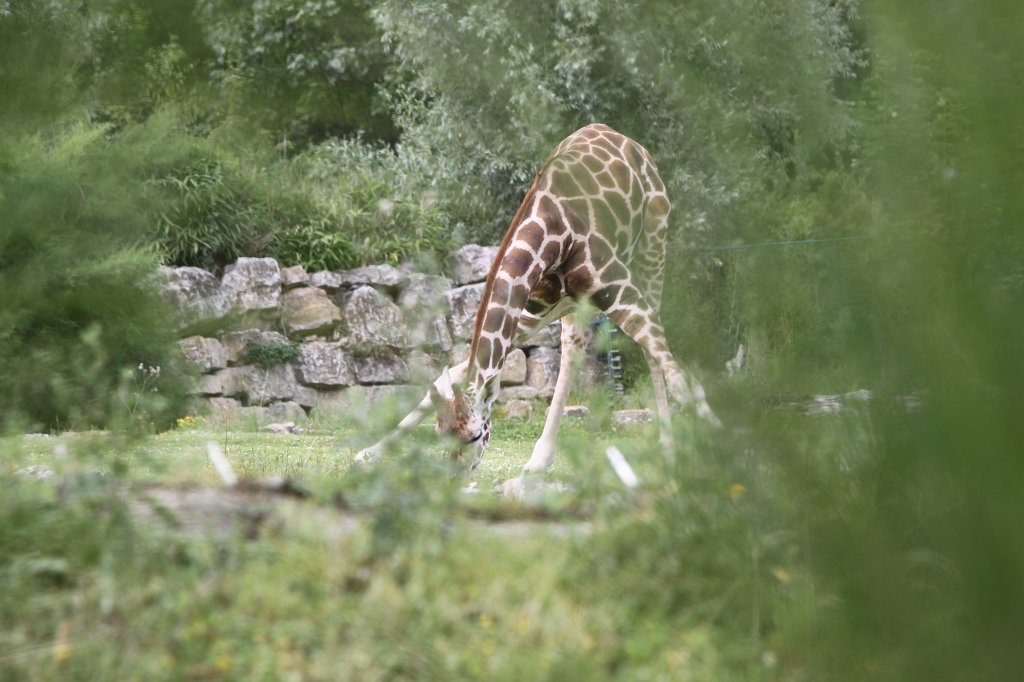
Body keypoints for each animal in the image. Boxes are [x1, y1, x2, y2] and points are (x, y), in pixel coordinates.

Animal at [356, 123, 719, 484]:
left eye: (476, 435)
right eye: (440, 433)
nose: (452, 480)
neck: (551, 231)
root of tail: (630, 142)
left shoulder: (617, 286)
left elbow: (678, 379)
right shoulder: (533, 307)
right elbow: (451, 375)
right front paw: (369, 452)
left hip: (653, 246)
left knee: (649, 352)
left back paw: (668, 447)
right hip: (561, 307)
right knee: (572, 347)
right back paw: (540, 459)